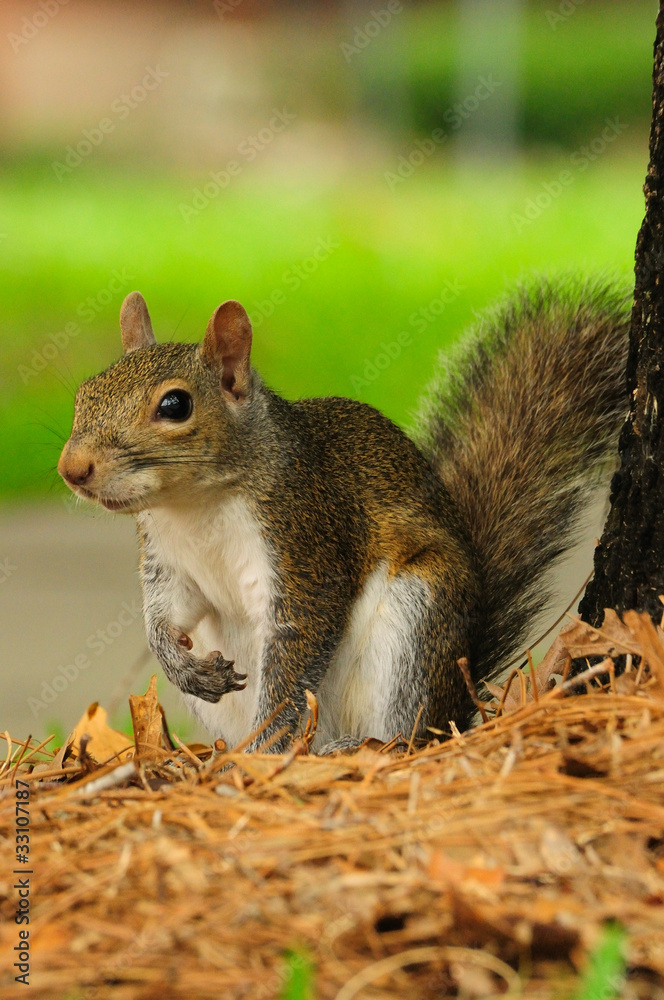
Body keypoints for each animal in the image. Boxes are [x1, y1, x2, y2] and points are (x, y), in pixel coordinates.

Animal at [58, 277, 630, 753]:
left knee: (405, 734)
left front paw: (264, 754)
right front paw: (181, 666)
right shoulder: (168, 560)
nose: (71, 469)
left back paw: (351, 749)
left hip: (414, 621)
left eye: (175, 406)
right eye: (84, 393)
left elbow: (295, 652)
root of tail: (456, 705)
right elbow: (168, 615)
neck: (194, 506)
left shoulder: (305, 536)